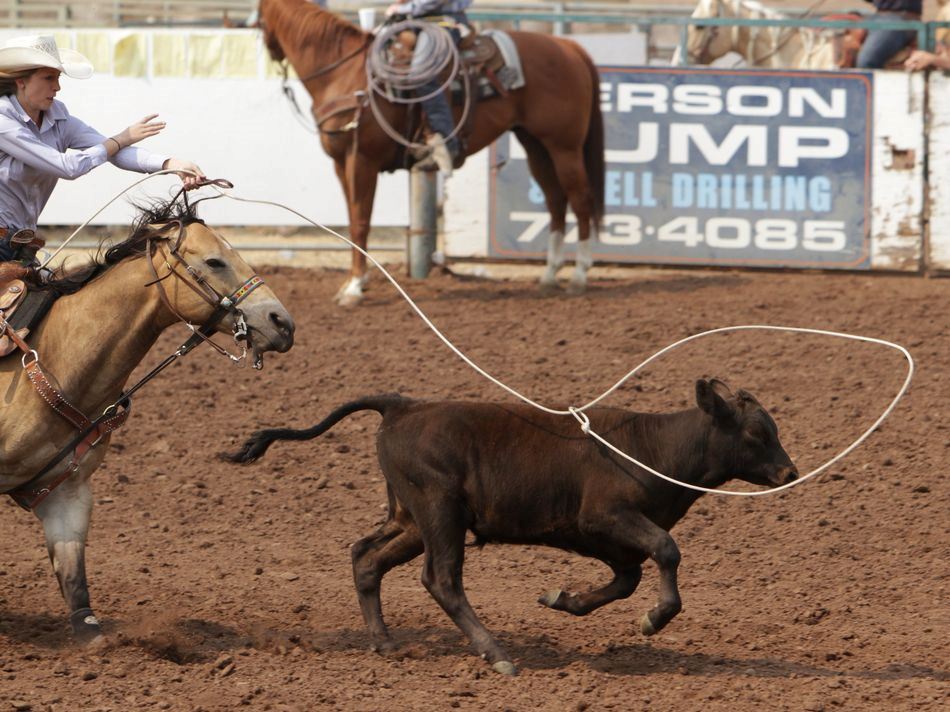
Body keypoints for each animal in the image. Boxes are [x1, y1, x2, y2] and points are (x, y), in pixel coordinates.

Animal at [226, 379, 798, 675]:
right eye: (756, 432)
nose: (789, 473)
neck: (654, 449)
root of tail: (402, 405)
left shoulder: (605, 539)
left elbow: (627, 579)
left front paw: (562, 599)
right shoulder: (606, 516)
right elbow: (667, 550)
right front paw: (654, 620)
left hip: (411, 516)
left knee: (366, 557)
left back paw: (386, 644)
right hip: (439, 509)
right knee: (441, 579)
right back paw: (496, 654)